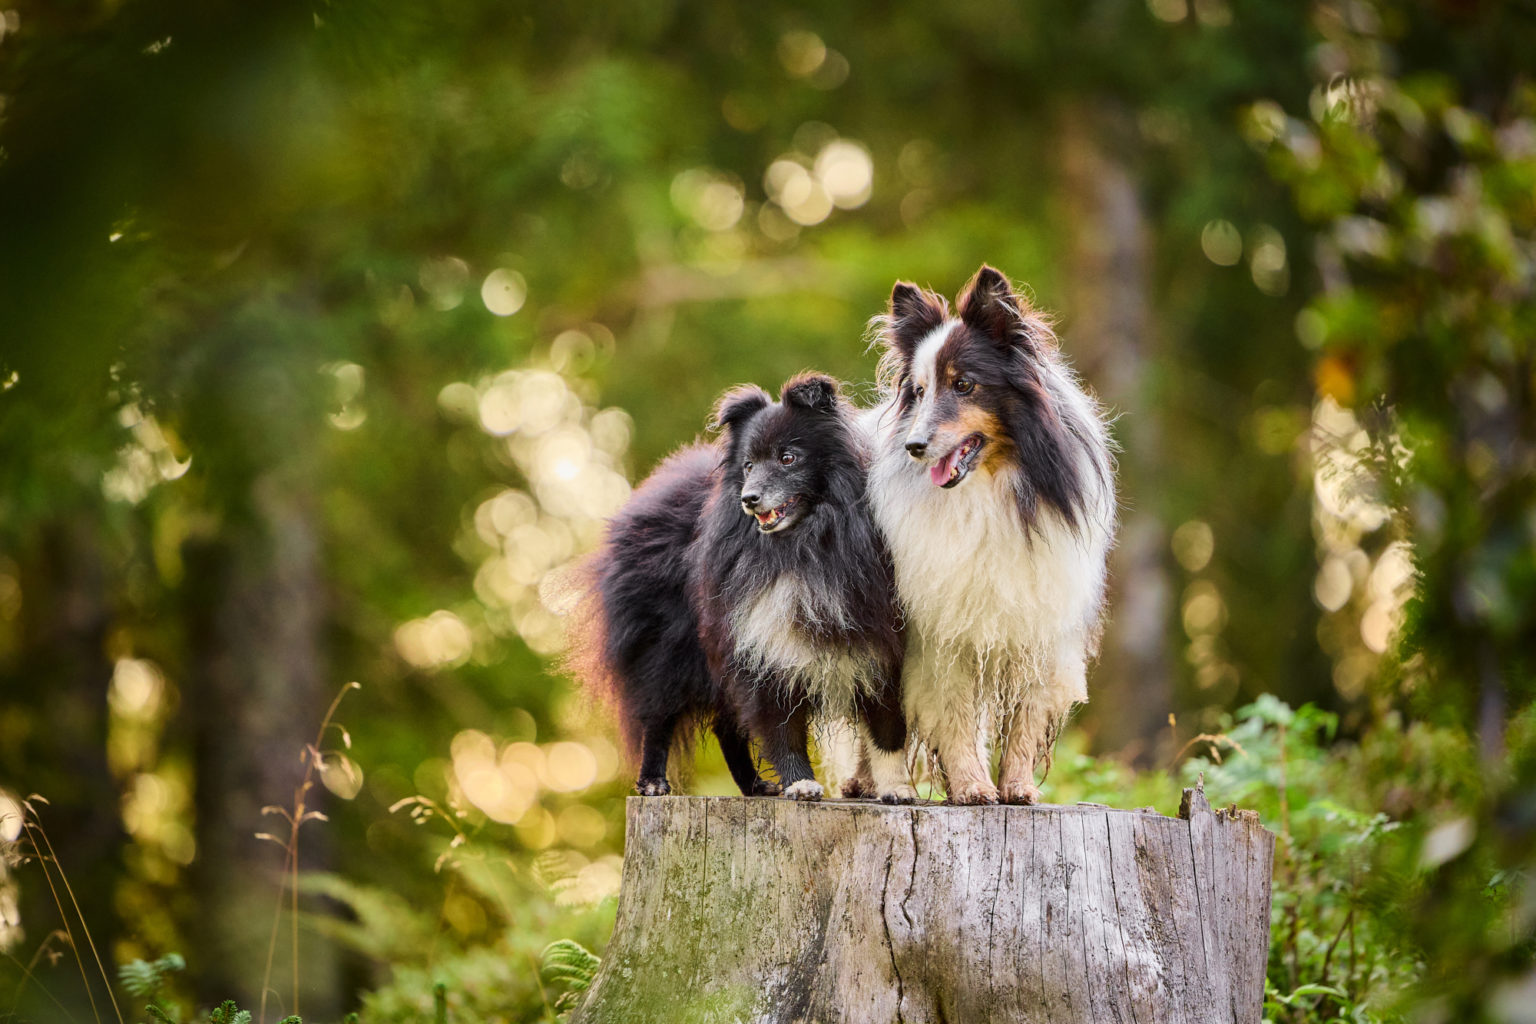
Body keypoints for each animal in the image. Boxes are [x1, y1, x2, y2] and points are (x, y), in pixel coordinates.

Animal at [574, 373, 909, 804]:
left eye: (788, 458)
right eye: (748, 465)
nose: (749, 498)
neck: (802, 545)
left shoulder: (875, 640)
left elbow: (887, 726)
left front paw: (897, 788)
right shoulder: (760, 637)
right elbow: (780, 725)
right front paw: (800, 783)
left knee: (725, 726)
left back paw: (754, 785)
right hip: (667, 646)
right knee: (658, 712)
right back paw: (652, 782)